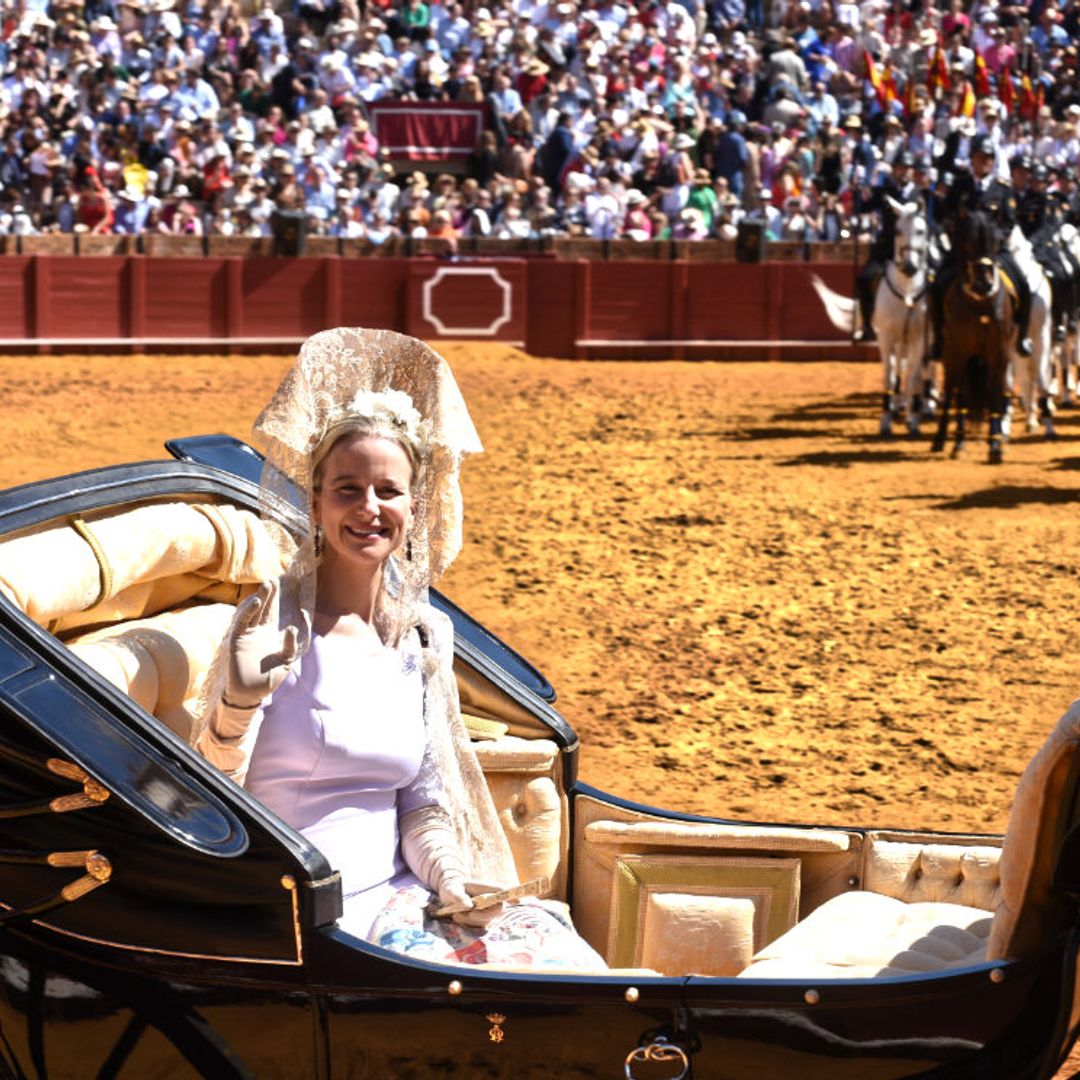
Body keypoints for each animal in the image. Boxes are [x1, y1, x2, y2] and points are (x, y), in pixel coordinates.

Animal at [812, 200, 937, 436]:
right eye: (897, 231)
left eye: (921, 231)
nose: (909, 266)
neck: (907, 290)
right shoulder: (886, 337)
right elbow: (890, 376)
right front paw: (886, 421)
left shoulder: (919, 338)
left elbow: (913, 375)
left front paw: (913, 421)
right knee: (900, 370)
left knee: (917, 372)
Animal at [933, 210, 1015, 464]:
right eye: (967, 245)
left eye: (997, 243)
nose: (985, 285)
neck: (980, 307)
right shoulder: (959, 352)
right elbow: (962, 395)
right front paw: (958, 443)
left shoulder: (999, 353)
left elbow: (995, 393)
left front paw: (995, 445)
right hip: (949, 355)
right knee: (951, 389)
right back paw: (940, 439)